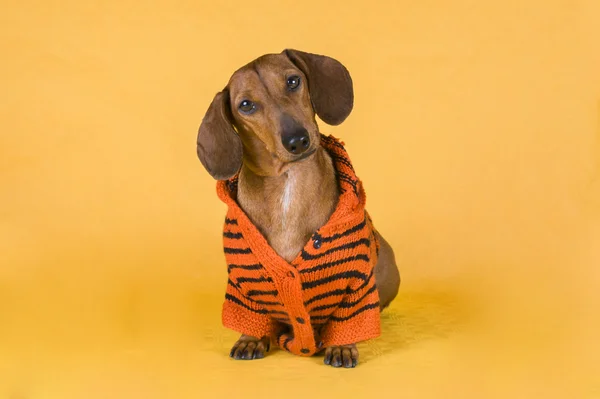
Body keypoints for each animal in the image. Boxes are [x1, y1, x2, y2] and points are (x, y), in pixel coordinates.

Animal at [197, 50, 400, 368]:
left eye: (293, 81)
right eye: (246, 105)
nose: (297, 140)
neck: (288, 186)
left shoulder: (356, 281)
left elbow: (349, 319)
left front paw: (342, 347)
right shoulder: (243, 283)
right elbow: (249, 316)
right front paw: (250, 338)